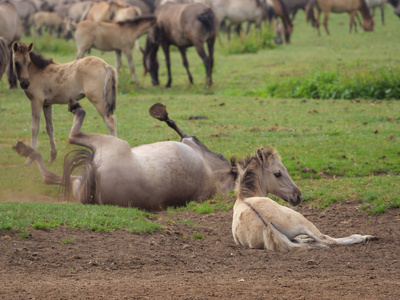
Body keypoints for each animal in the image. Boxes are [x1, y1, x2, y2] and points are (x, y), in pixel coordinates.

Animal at [14, 101, 236, 211]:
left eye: (221, 155)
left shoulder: (191, 142)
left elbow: (182, 131)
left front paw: (163, 115)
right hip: (80, 182)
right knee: (51, 177)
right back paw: (27, 151)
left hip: (109, 144)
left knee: (72, 136)